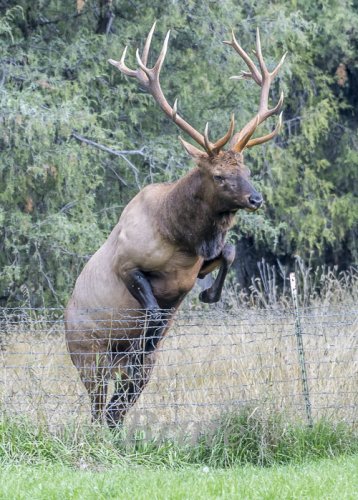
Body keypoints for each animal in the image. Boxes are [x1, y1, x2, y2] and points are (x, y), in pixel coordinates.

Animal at [65, 21, 286, 424]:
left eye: (246, 170)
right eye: (218, 175)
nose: (256, 199)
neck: (179, 235)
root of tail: (63, 323)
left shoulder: (197, 264)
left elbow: (229, 251)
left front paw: (209, 294)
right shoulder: (126, 263)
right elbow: (152, 308)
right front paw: (149, 334)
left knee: (118, 407)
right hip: (88, 357)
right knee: (99, 406)